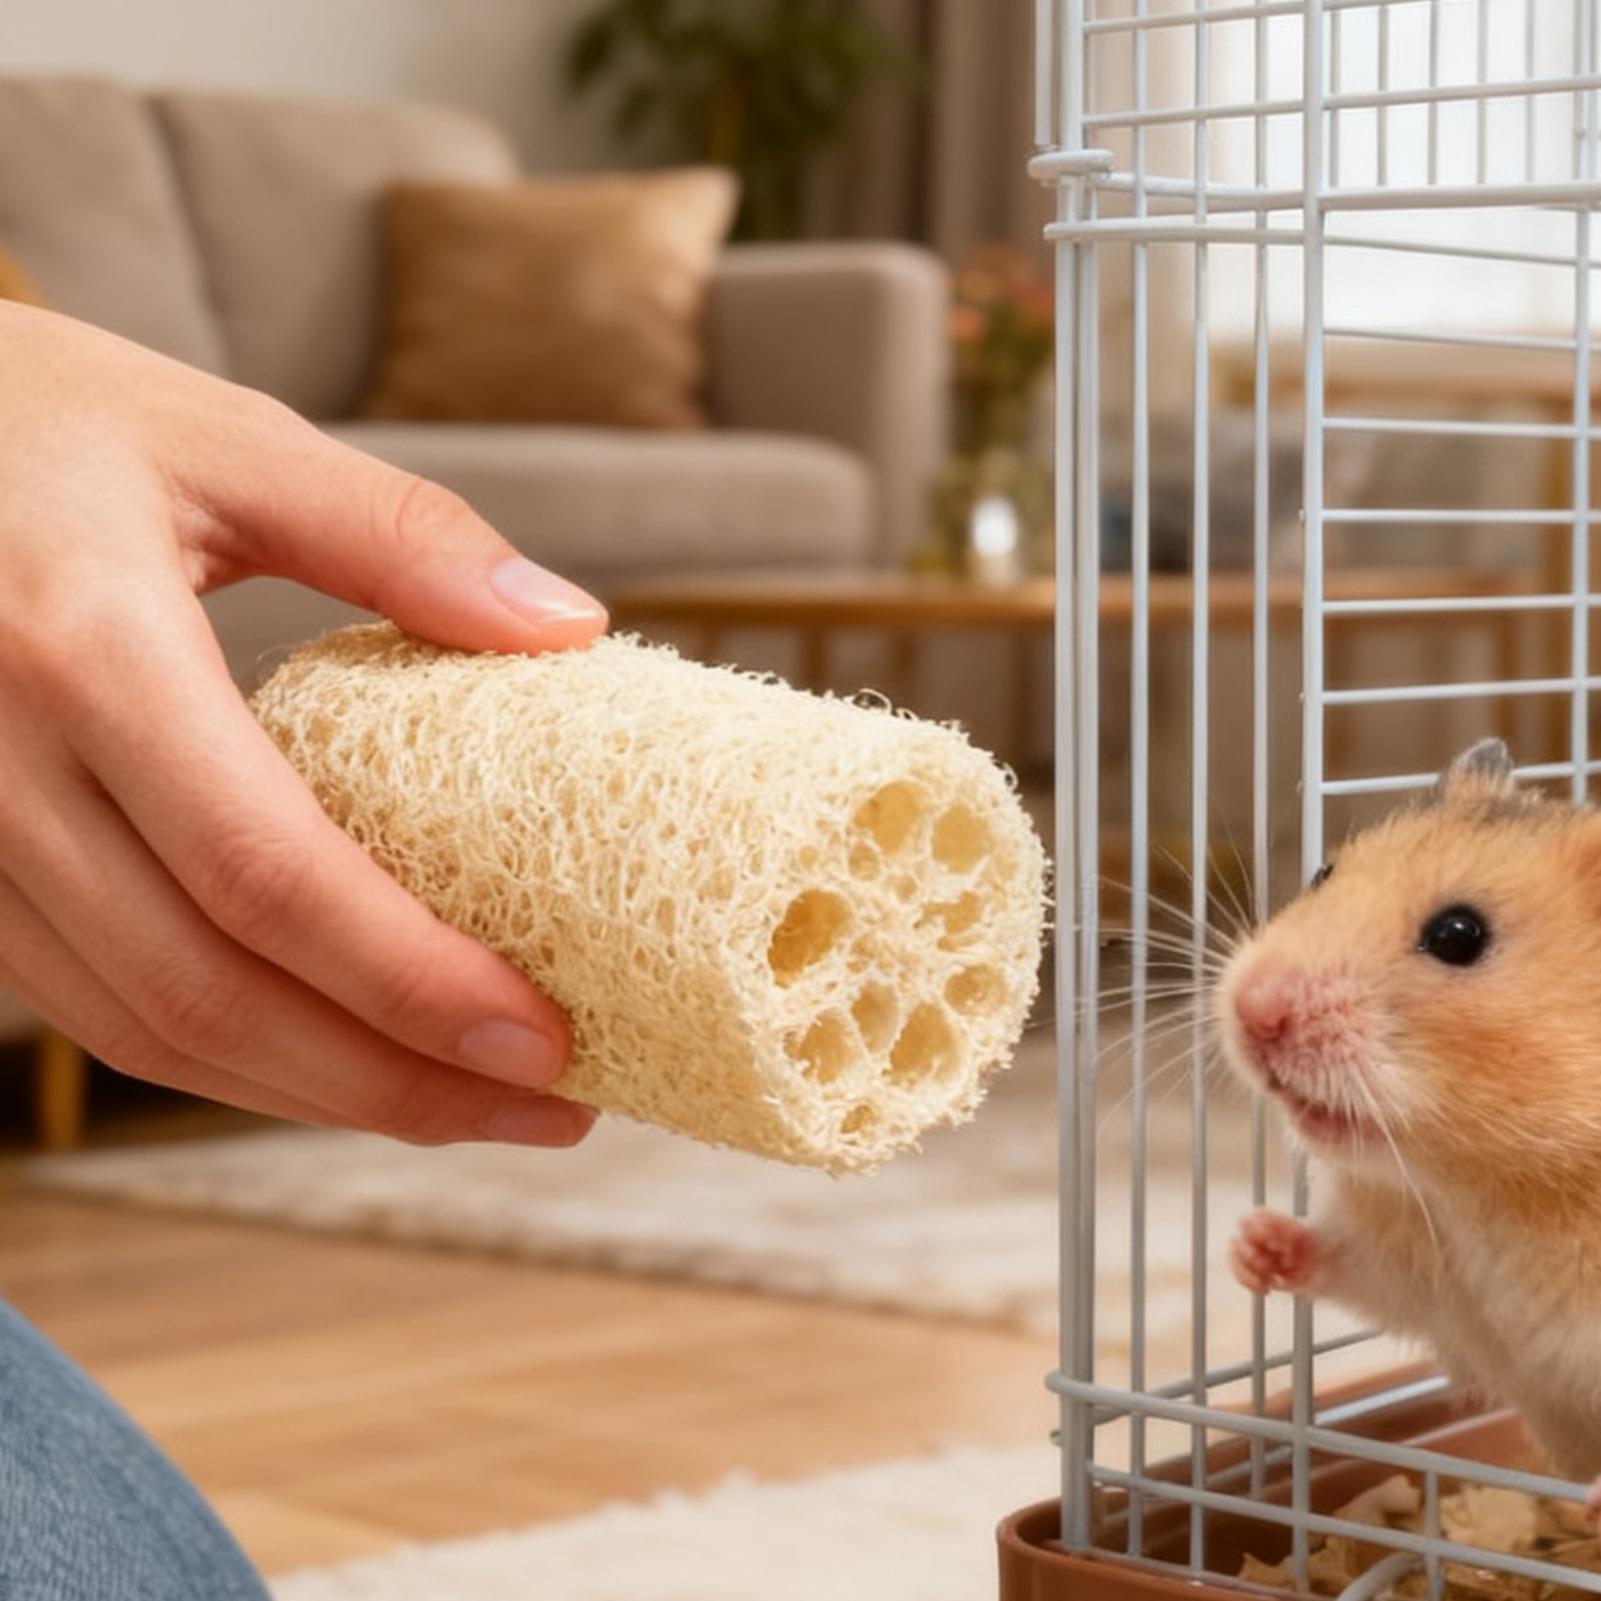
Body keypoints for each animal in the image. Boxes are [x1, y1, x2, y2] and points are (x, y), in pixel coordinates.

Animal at [1217, 738, 1601, 1496]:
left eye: (1458, 934)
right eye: (1323, 871)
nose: (1252, 1009)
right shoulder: (1417, 1269)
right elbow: (1343, 1259)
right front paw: (1253, 1246)